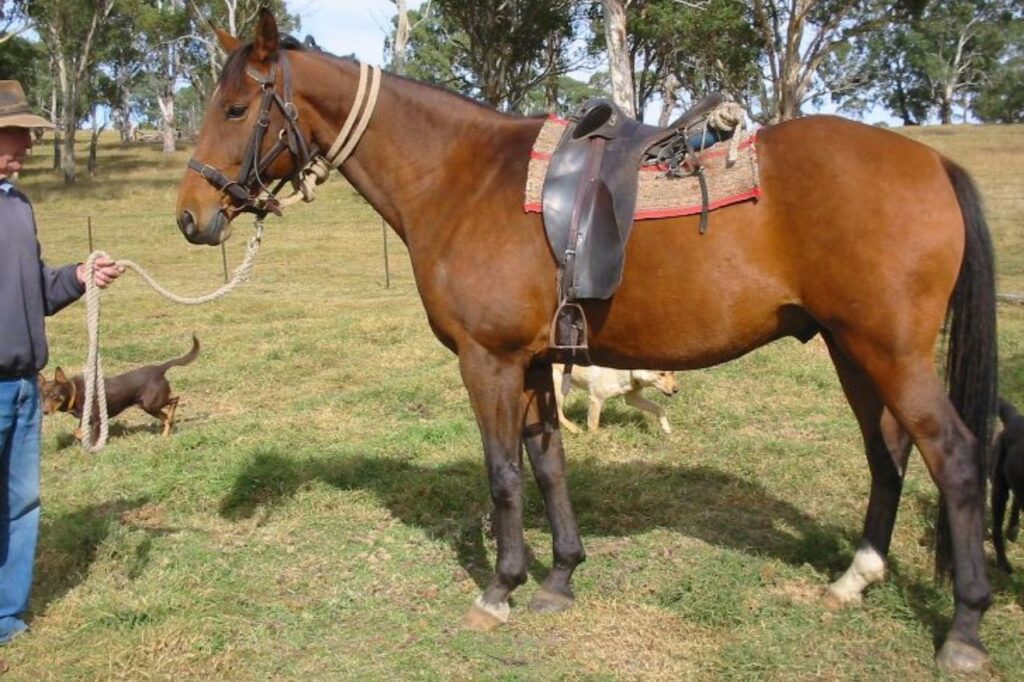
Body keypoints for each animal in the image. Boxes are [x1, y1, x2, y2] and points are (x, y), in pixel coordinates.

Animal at [175, 11, 998, 673]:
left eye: (238, 107)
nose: (190, 217)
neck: (462, 177)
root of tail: (932, 161)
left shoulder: (489, 362)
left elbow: (504, 474)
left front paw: (501, 589)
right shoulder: (538, 363)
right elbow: (549, 465)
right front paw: (561, 577)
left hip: (889, 352)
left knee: (956, 458)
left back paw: (964, 629)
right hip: (851, 349)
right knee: (887, 453)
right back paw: (854, 579)